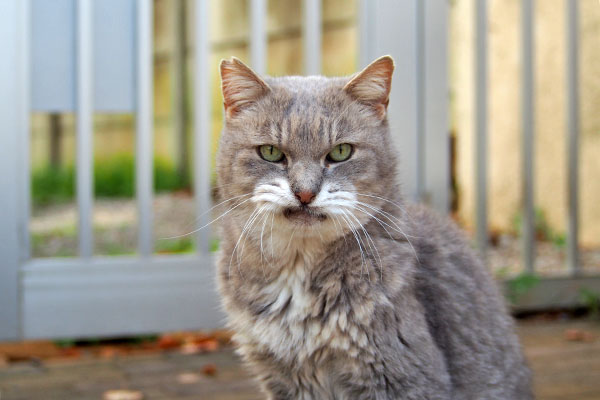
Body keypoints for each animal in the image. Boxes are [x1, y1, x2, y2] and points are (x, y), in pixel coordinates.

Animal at [213, 54, 532, 398]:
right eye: (271, 152)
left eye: (341, 152)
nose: (305, 193)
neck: (298, 272)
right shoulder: (284, 380)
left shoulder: (404, 378)